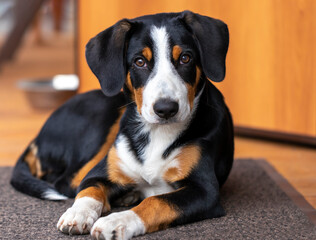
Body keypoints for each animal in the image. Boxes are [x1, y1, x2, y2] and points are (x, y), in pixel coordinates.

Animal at [10, 10, 235, 239]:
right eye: (139, 61)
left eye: (185, 58)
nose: (166, 109)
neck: (156, 133)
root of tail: (38, 136)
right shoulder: (99, 173)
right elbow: (88, 189)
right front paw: (78, 214)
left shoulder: (204, 190)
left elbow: (156, 201)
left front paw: (116, 221)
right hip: (104, 115)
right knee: (67, 181)